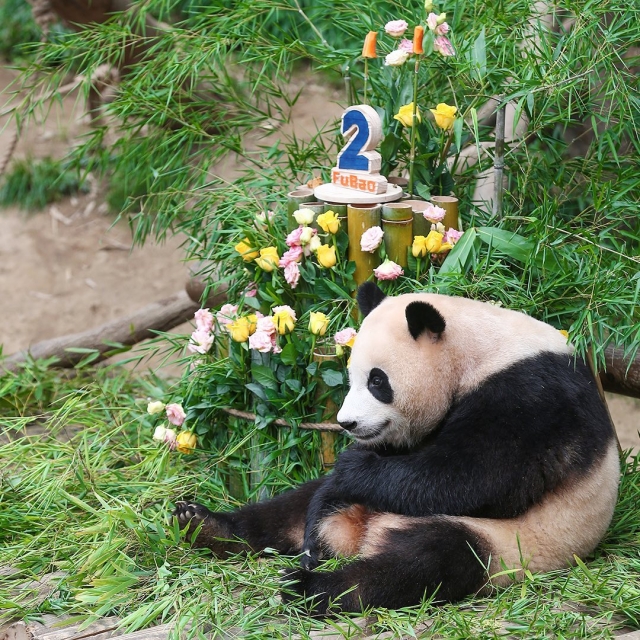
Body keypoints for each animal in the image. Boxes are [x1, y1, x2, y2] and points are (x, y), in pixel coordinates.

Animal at [174, 282, 620, 612]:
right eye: (351, 377)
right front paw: (339, 485)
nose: (347, 424)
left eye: (377, 381)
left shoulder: (532, 400)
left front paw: (353, 466)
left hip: (514, 545)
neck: (482, 347)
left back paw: (313, 587)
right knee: (292, 507)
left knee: (429, 560)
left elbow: (472, 478)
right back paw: (204, 525)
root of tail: (364, 535)